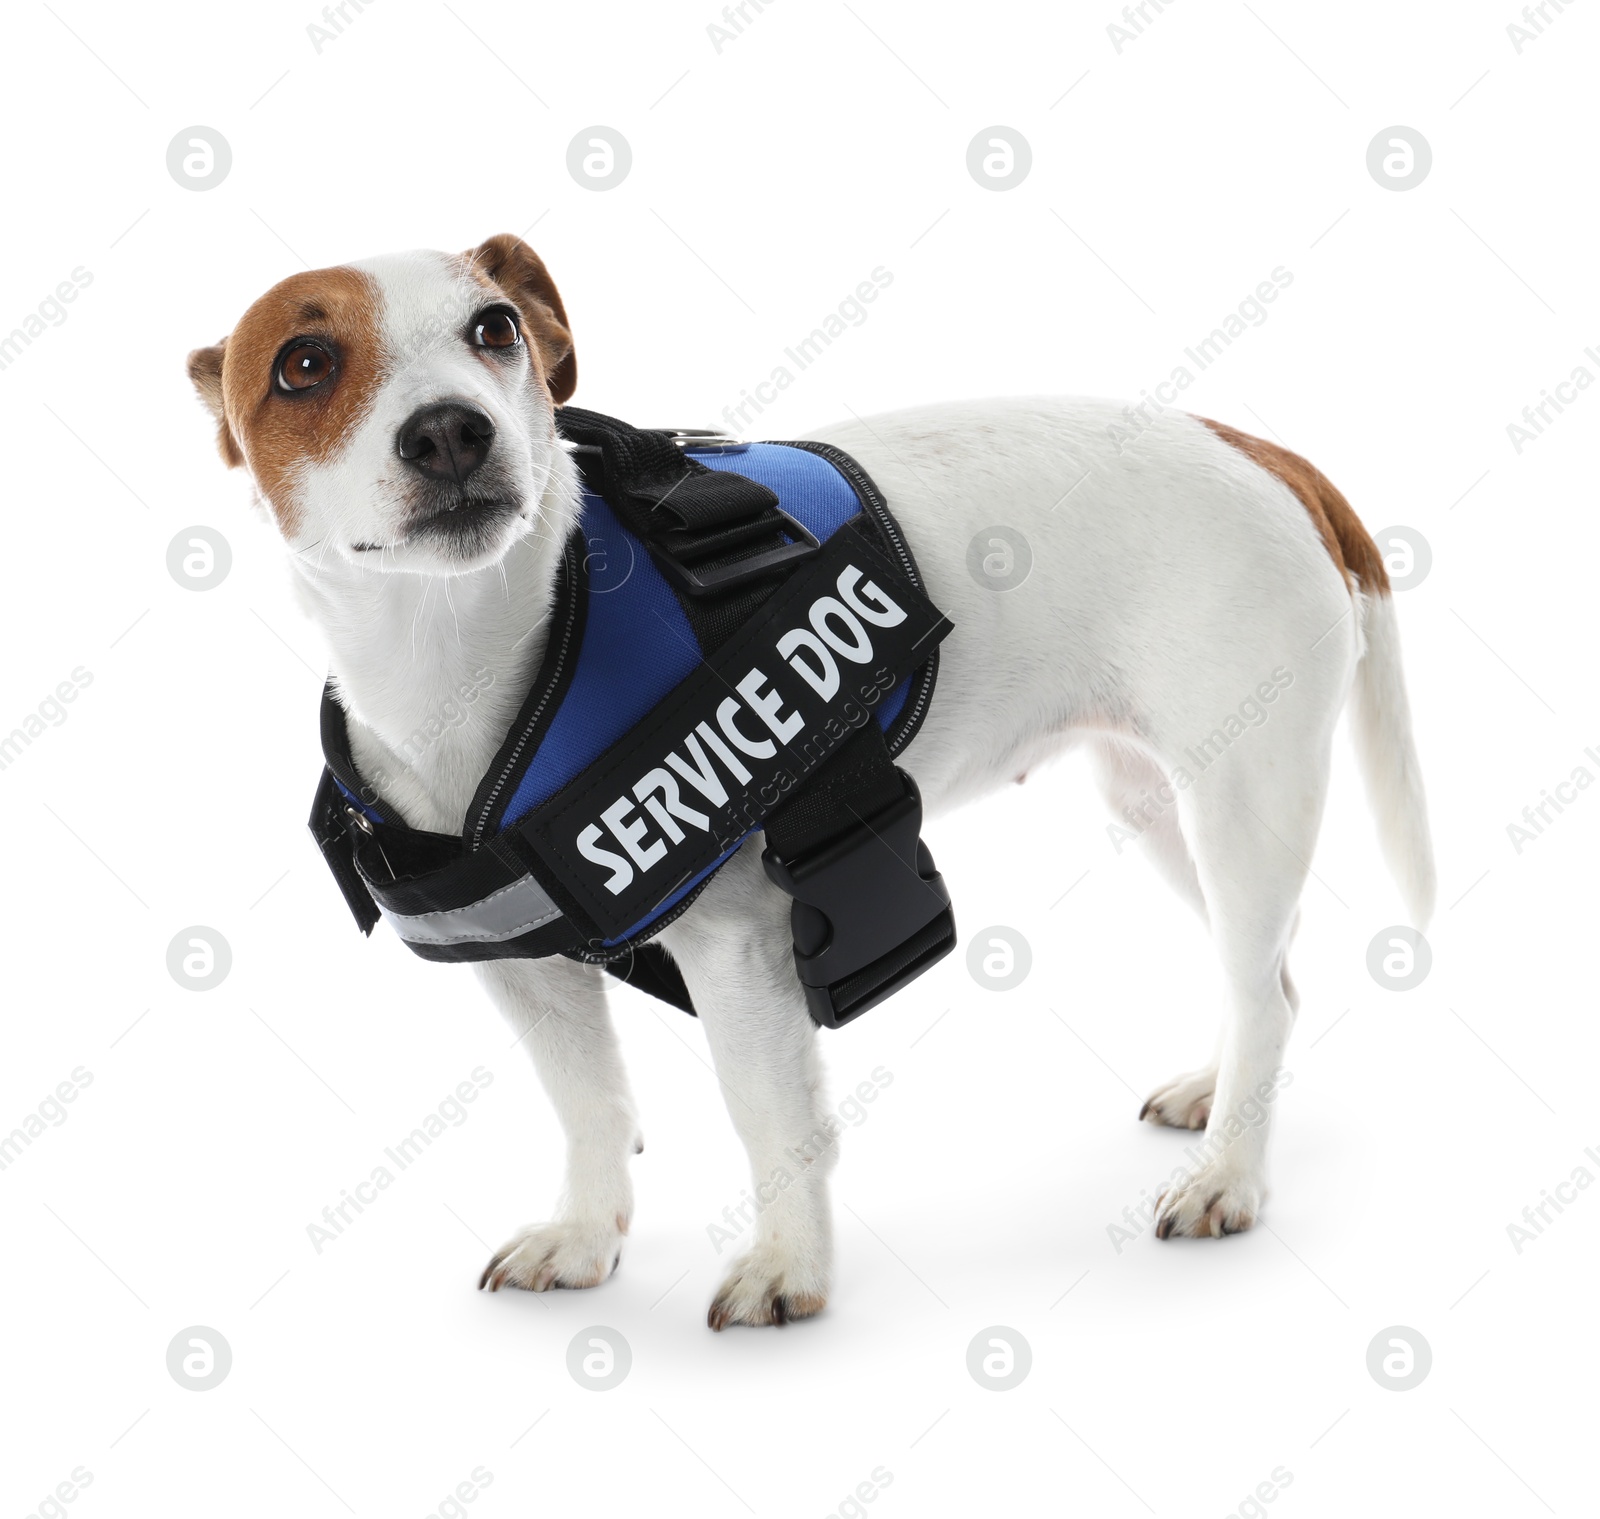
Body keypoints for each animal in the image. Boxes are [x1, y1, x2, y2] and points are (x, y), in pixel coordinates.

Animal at [190, 230, 1440, 1318]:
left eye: (493, 328)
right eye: (303, 365)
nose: (452, 431)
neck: (471, 644)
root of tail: (1255, 448)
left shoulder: (737, 951)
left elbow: (766, 1118)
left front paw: (788, 1265)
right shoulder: (528, 973)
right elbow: (589, 1102)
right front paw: (588, 1235)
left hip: (1244, 805)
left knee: (1259, 987)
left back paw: (1229, 1175)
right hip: (1156, 801)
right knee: (1265, 981)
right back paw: (1217, 1097)